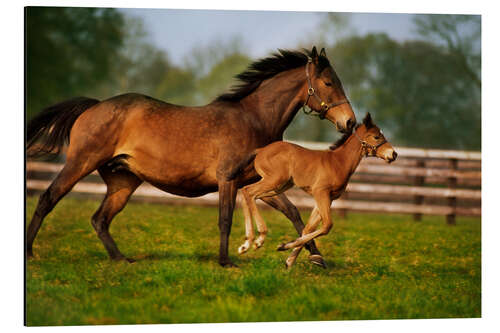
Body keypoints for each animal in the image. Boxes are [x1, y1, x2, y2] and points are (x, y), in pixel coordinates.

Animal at [26, 46, 356, 266]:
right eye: (329, 83)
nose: (350, 122)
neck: (254, 119)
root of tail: (94, 105)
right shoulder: (228, 179)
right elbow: (225, 218)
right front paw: (227, 261)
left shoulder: (261, 181)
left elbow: (294, 213)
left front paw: (316, 259)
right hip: (80, 163)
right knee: (48, 199)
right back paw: (30, 253)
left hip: (122, 181)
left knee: (100, 219)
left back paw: (122, 259)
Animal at [236, 113, 396, 268]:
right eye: (376, 137)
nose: (393, 154)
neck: (338, 162)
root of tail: (261, 150)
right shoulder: (321, 192)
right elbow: (326, 226)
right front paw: (285, 246)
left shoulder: (328, 198)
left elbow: (308, 229)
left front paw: (289, 260)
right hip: (274, 180)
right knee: (249, 191)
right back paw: (258, 239)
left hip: (279, 186)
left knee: (247, 193)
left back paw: (247, 243)